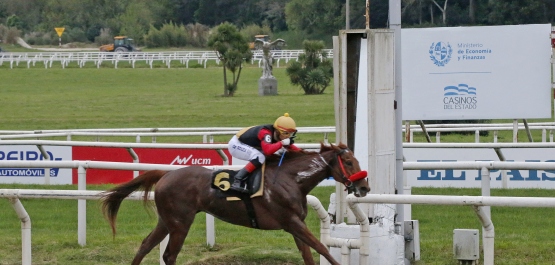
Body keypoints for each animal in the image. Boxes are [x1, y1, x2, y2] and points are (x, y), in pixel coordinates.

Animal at [101, 143, 370, 262]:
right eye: (348, 162)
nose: (364, 187)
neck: (292, 179)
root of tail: (165, 175)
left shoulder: (295, 225)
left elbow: (308, 253)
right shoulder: (292, 222)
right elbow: (321, 248)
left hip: (167, 221)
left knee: (146, 245)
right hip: (180, 223)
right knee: (169, 254)